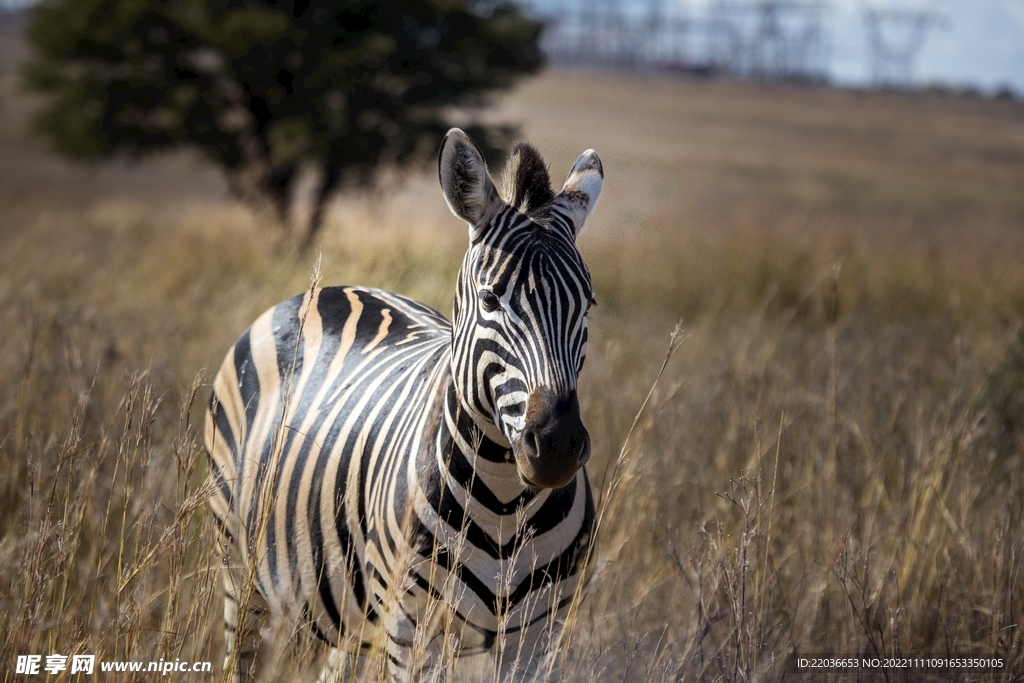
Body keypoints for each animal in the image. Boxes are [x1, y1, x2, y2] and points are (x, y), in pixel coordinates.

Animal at [205, 126, 598, 679]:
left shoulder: (538, 636)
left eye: (588, 304)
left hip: (352, 609)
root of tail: (334, 288)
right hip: (239, 567)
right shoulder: (411, 628)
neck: (504, 500)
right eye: (491, 299)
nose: (558, 447)